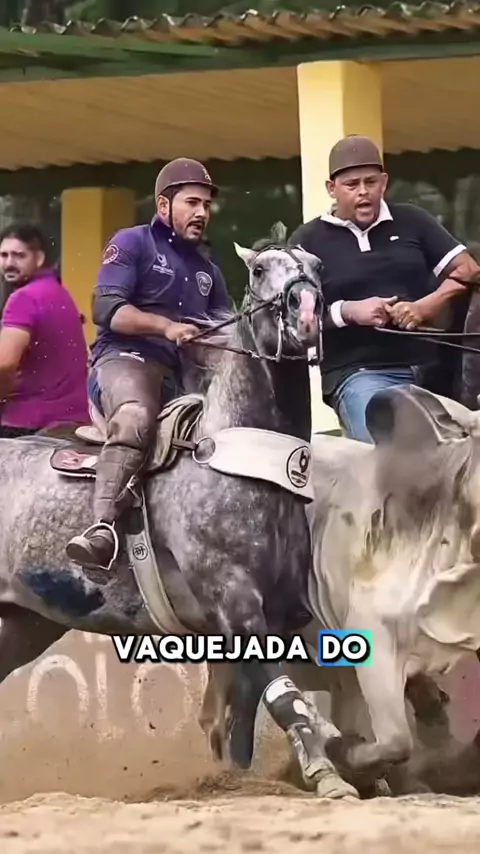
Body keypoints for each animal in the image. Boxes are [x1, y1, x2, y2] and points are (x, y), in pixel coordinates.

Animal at [0, 231, 357, 801]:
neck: (238, 465)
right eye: (260, 271)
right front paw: (327, 775)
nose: (305, 315)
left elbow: (238, 719)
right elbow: (283, 697)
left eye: (316, 267)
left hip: (22, 624)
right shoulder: (236, 603)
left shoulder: (274, 614)